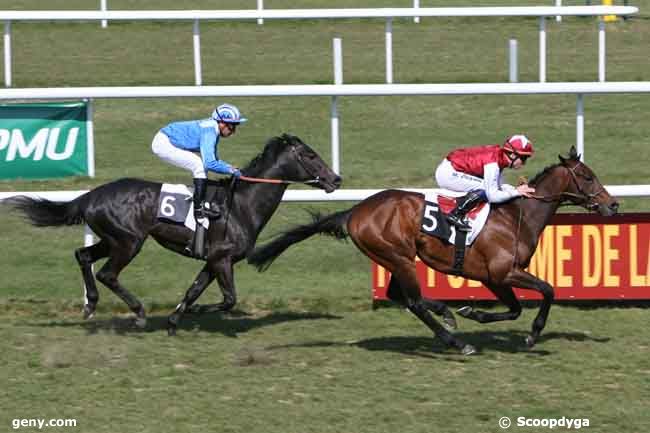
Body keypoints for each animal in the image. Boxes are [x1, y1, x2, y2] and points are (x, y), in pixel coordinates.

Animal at [6, 134, 340, 334]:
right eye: (310, 155)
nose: (336, 179)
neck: (242, 204)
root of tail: (90, 196)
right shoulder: (222, 258)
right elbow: (229, 298)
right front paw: (197, 312)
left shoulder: (213, 260)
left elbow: (194, 290)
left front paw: (175, 319)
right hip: (129, 241)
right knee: (107, 273)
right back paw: (138, 312)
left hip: (113, 239)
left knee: (83, 255)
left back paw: (90, 304)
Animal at [248, 147, 616, 352]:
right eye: (587, 176)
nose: (612, 205)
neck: (517, 216)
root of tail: (355, 211)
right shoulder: (503, 272)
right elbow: (548, 290)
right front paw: (530, 336)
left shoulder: (494, 278)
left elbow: (514, 309)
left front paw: (475, 313)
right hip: (398, 256)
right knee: (412, 301)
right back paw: (455, 335)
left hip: (395, 259)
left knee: (401, 296)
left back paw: (448, 320)